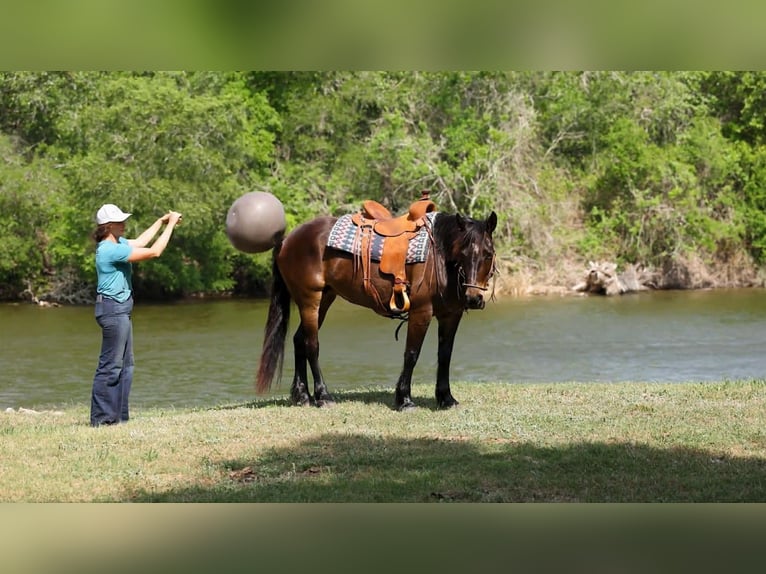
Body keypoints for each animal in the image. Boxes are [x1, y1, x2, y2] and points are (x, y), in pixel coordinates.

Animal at [255, 207, 498, 410]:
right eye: (463, 253)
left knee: (299, 340)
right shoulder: (421, 312)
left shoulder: (451, 315)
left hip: (324, 298)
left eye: (488, 253)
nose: (473, 298)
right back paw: (323, 396)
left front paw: (446, 398)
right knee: (311, 345)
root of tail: (287, 239)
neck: (438, 256)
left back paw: (302, 396)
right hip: (310, 300)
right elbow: (412, 354)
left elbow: (445, 355)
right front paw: (404, 400)